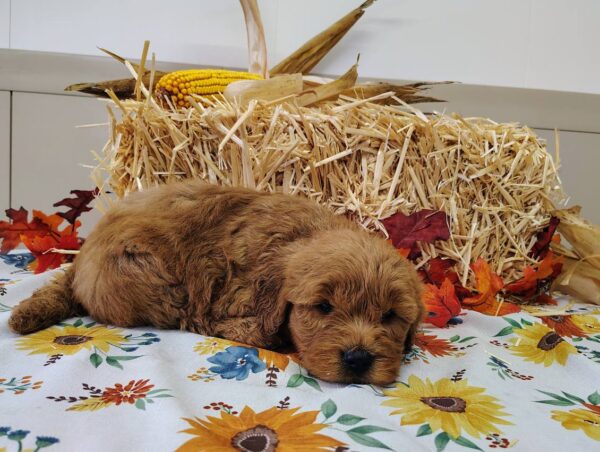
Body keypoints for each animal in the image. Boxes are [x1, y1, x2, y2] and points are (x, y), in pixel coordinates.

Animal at [8, 181, 422, 384]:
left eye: (390, 316)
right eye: (323, 307)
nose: (358, 358)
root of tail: (82, 259)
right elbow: (255, 328)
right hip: (150, 274)